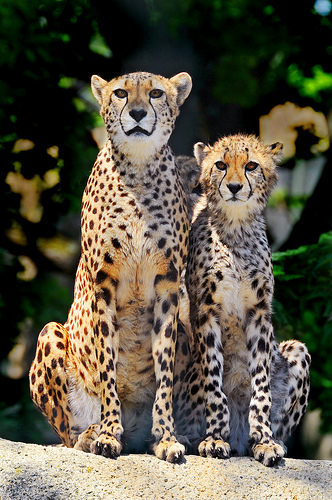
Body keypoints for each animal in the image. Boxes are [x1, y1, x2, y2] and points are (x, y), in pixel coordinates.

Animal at [30, 71, 195, 464]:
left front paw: (166, 437)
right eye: (120, 93)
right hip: (49, 333)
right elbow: (107, 363)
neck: (137, 169)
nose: (136, 113)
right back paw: (91, 434)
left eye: (155, 93)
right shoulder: (103, 285)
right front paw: (107, 433)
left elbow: (164, 371)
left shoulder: (168, 287)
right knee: (68, 436)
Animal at [183, 135, 310, 466]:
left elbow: (261, 386)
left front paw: (264, 440)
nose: (234, 187)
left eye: (251, 165)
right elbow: (213, 383)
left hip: (297, 350)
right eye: (220, 165)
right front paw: (215, 437)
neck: (236, 228)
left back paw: (265, 441)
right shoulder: (206, 311)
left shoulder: (259, 312)